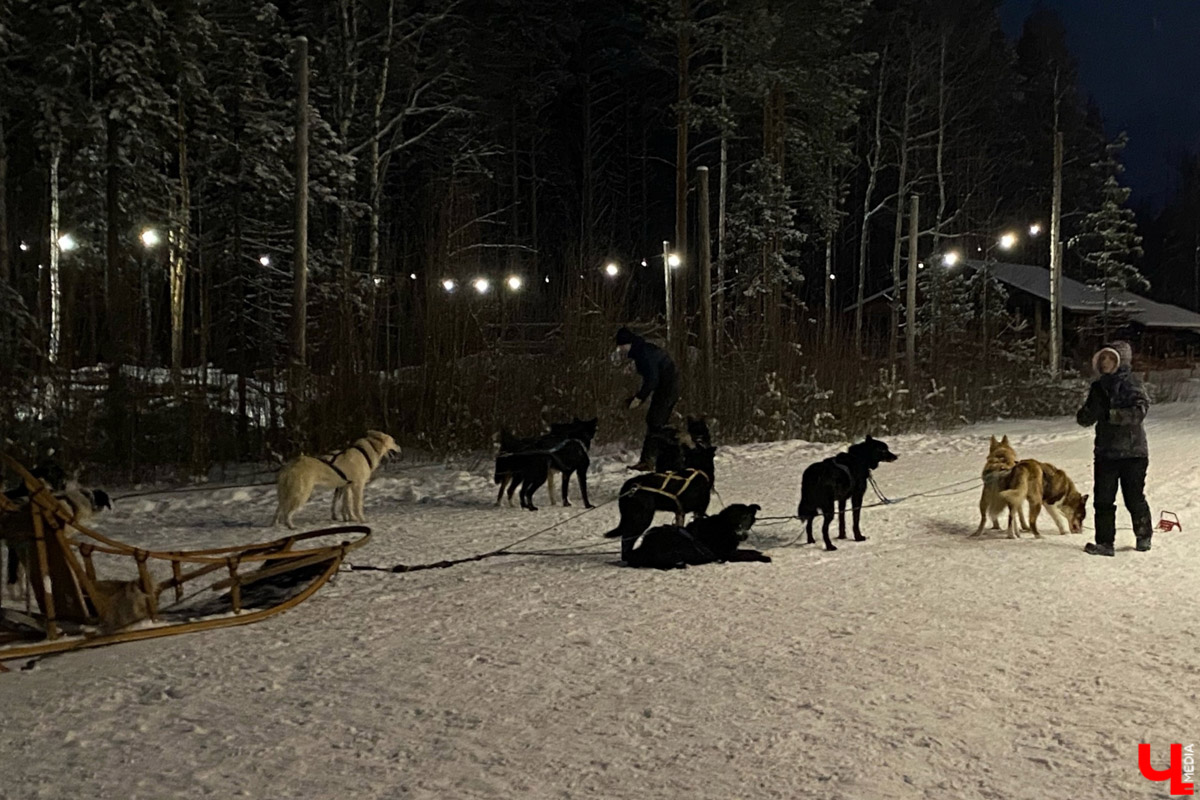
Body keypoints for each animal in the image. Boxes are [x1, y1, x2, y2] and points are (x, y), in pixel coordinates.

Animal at [628, 503, 768, 573]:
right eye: (737, 519)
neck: (725, 527)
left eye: (747, 517)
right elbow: (747, 555)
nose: (742, 533)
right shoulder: (726, 554)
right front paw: (764, 558)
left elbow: (750, 551)